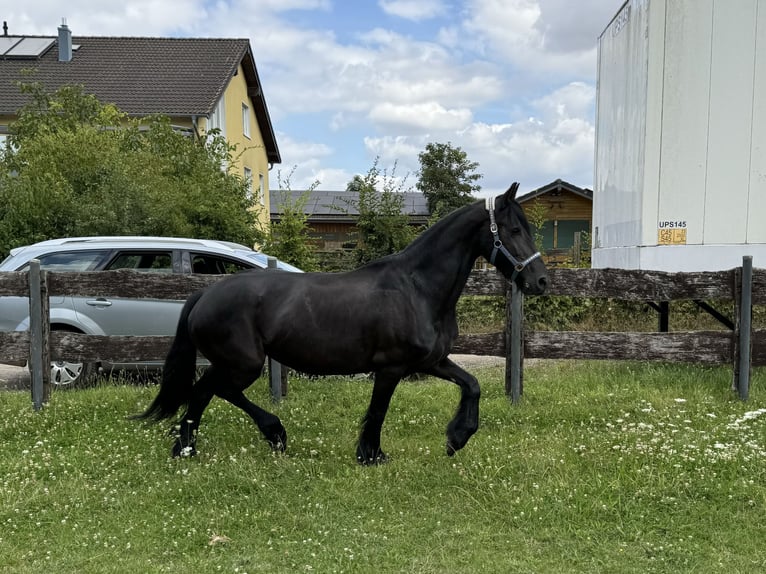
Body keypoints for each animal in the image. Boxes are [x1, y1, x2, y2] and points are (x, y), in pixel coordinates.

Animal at [135, 184, 548, 464]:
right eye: (513, 230)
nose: (541, 281)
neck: (416, 288)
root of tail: (205, 294)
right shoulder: (391, 367)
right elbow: (378, 411)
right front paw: (371, 454)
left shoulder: (431, 361)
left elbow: (472, 384)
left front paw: (456, 438)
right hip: (243, 363)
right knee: (213, 390)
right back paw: (263, 434)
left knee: (206, 391)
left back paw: (192, 446)